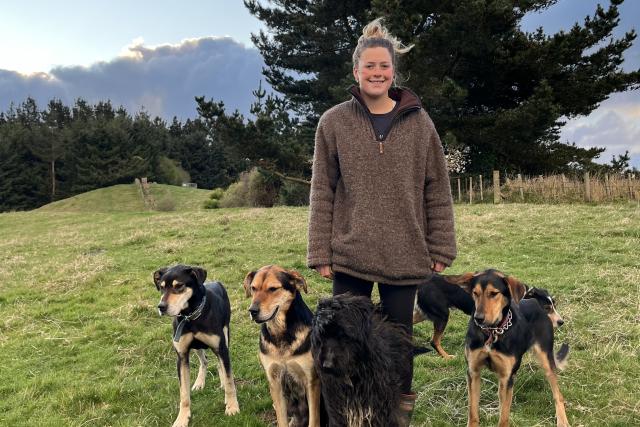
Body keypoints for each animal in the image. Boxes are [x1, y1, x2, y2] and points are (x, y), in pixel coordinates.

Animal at [154, 264, 240, 427]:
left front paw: (232, 407)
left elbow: (230, 380)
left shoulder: (221, 349)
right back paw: (199, 382)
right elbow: (183, 393)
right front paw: (182, 418)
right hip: (198, 347)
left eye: (179, 286)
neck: (190, 315)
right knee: (204, 361)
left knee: (219, 364)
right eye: (161, 287)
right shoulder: (182, 356)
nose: (161, 306)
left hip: (226, 335)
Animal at [241, 266, 320, 427]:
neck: (281, 331)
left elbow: (314, 421)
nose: (252, 311)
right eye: (253, 288)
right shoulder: (275, 382)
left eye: (273, 289)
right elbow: (281, 419)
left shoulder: (311, 380)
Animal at [456, 270, 568, 427]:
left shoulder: (506, 377)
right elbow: (473, 413)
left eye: (494, 293)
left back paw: (562, 420)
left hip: (546, 360)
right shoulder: (473, 372)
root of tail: (534, 302)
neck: (493, 332)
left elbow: (504, 418)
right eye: (475, 293)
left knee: (558, 394)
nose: (478, 318)